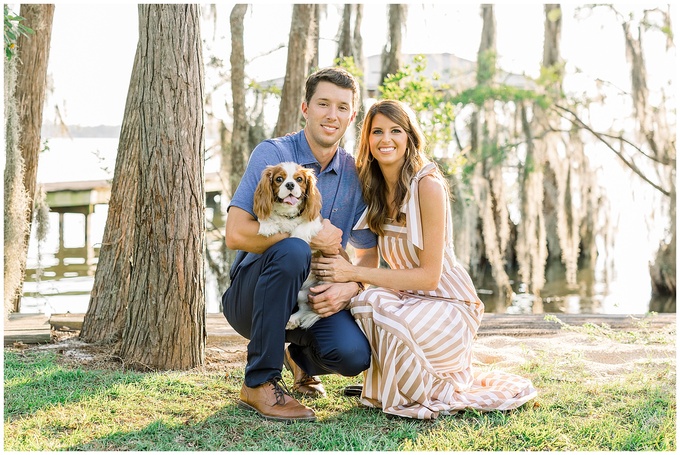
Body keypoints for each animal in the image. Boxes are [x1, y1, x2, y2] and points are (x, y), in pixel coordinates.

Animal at [255, 162, 324, 330]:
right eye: (279, 179)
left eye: (299, 179)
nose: (290, 184)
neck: (288, 214)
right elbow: (264, 216)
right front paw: (267, 225)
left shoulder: (316, 222)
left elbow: (304, 227)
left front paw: (296, 237)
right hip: (301, 293)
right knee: (304, 307)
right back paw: (293, 319)